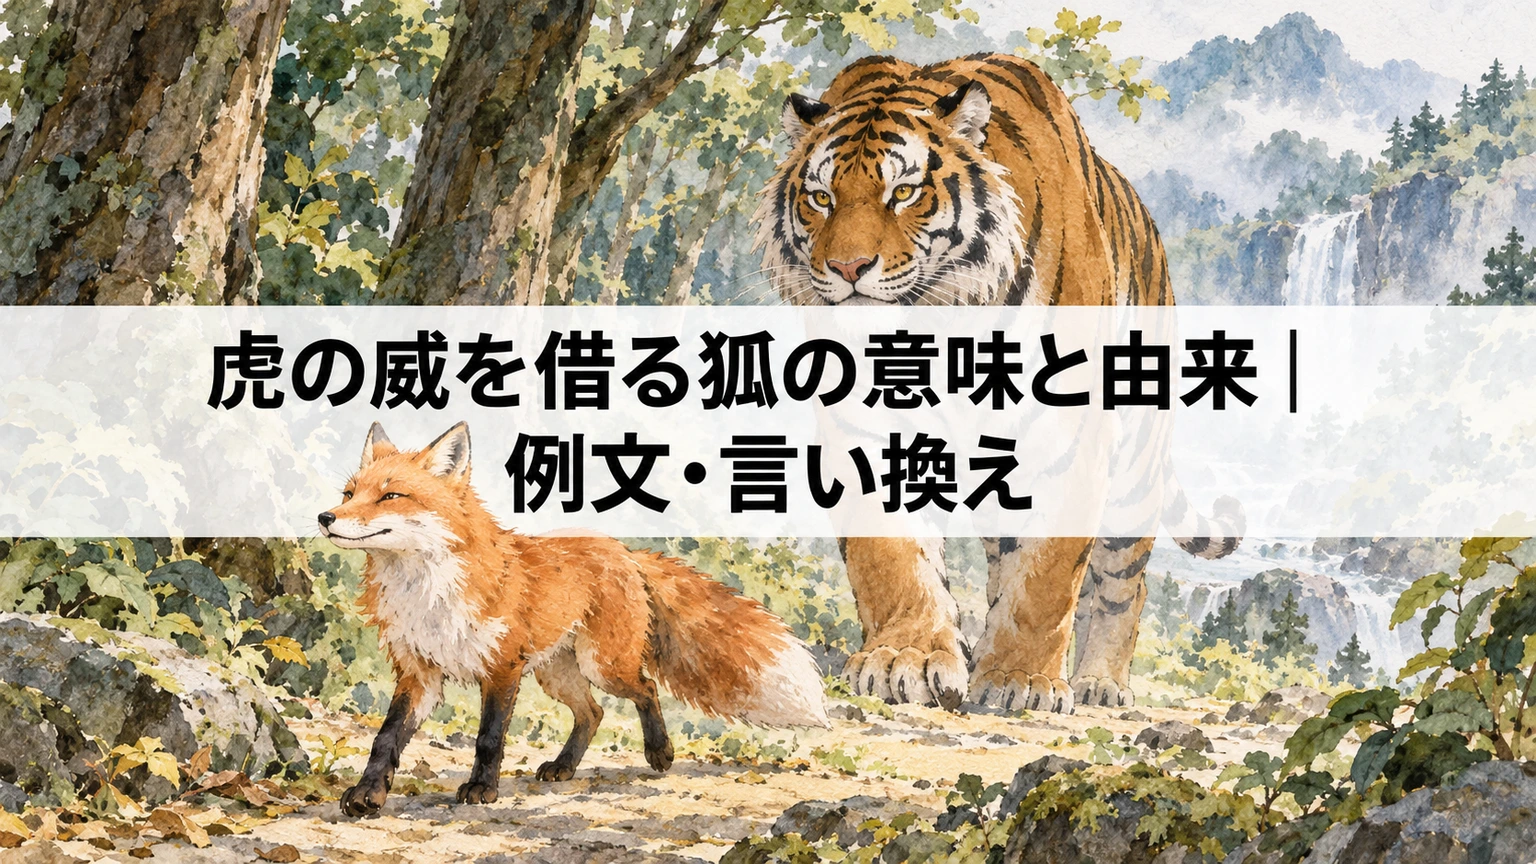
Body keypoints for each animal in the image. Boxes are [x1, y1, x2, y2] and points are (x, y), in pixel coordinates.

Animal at [751, 53, 1244, 713]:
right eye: (821, 198)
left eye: (903, 192)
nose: (848, 268)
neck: (936, 324)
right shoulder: (861, 422)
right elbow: (890, 553)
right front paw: (904, 657)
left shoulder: (1074, 426)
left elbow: (1047, 576)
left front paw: (1021, 679)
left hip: (1136, 463)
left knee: (1123, 583)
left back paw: (1099, 683)